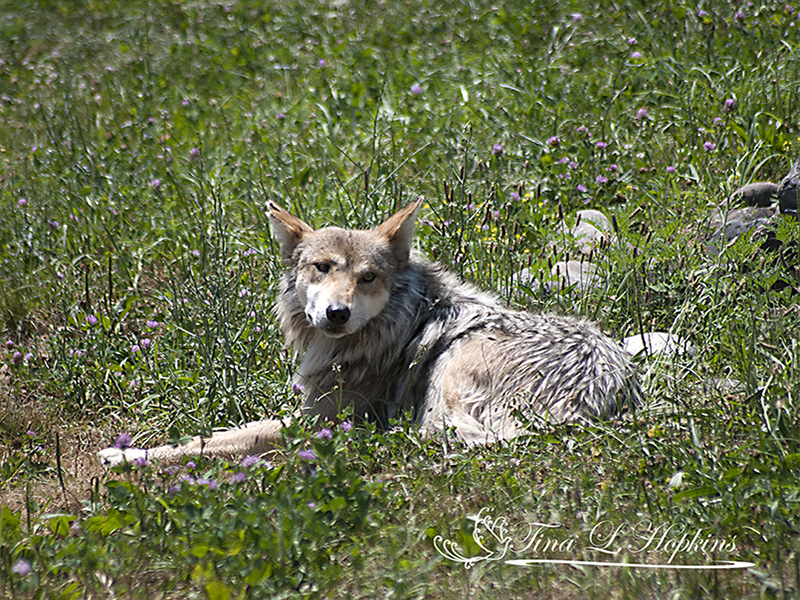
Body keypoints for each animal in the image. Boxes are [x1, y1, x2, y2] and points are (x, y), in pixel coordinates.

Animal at [98, 199, 641, 466]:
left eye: (368, 277)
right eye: (321, 267)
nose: (336, 313)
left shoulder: (314, 422)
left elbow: (216, 439)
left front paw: (126, 456)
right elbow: (220, 432)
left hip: (454, 369)